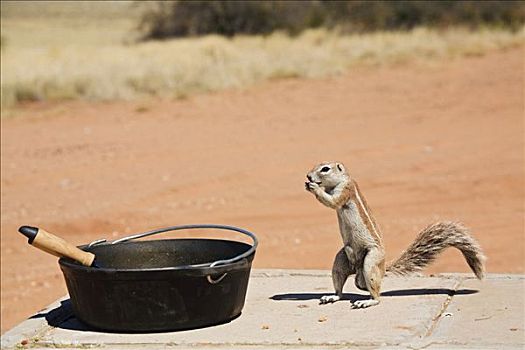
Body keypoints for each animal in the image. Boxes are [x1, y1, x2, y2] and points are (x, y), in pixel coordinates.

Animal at [304, 161, 486, 308]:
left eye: (325, 169)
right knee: (341, 285)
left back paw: (367, 302)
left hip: (371, 260)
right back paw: (332, 296)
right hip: (341, 260)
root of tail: (382, 267)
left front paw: (315, 188)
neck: (340, 180)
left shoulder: (345, 191)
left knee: (377, 295)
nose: (308, 176)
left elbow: (332, 202)